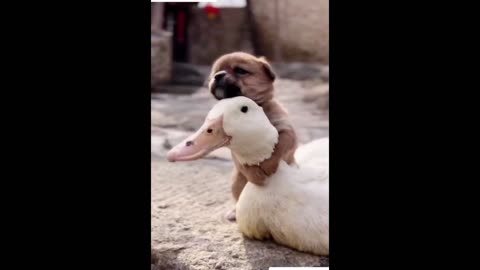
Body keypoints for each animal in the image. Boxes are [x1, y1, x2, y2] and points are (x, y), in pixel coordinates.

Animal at [208, 51, 298, 220]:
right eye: (215, 72)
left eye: (240, 71)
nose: (218, 76)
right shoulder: (234, 147)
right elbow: (244, 162)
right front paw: (255, 174)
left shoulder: (286, 131)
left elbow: (279, 147)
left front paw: (268, 165)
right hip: (236, 181)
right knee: (238, 197)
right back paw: (234, 211)